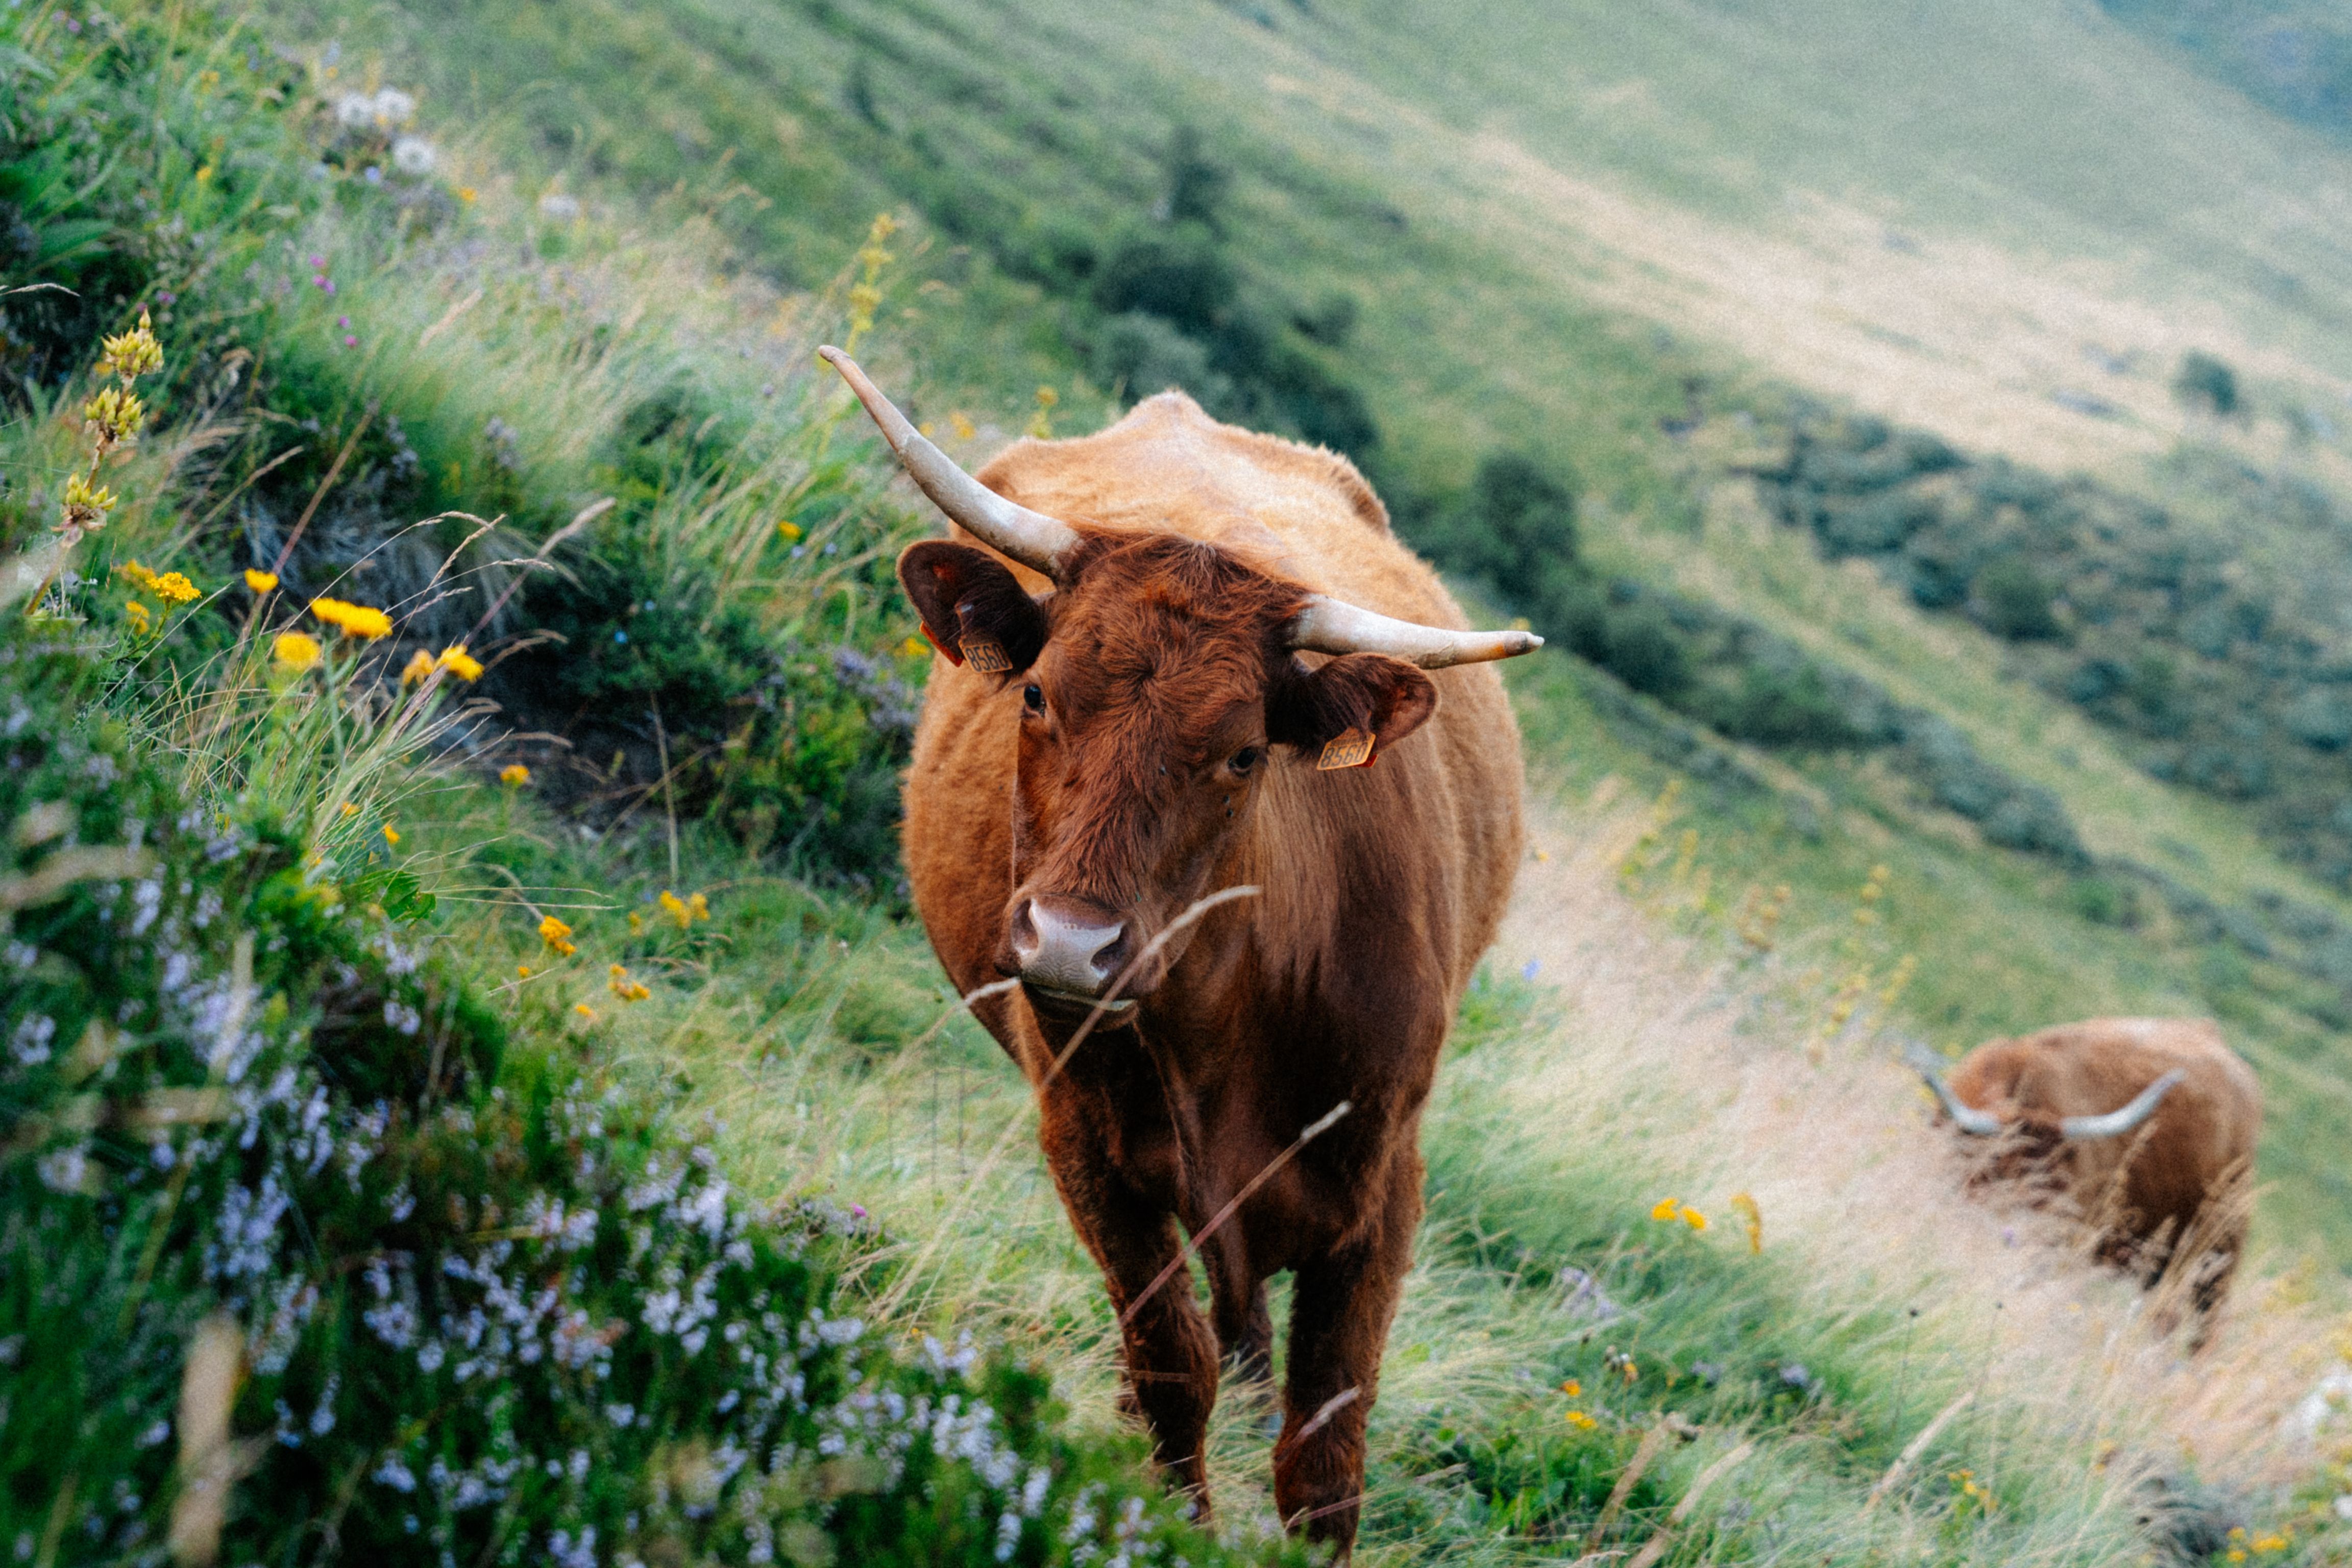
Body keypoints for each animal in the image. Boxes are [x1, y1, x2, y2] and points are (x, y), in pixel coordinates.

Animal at [819, 347, 1540, 1554]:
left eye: (1244, 753)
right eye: (1035, 693)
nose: (1072, 946)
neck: (1229, 1028)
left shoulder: (1383, 1188)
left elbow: (1323, 1455)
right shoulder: (1085, 1144)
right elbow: (1172, 1362)